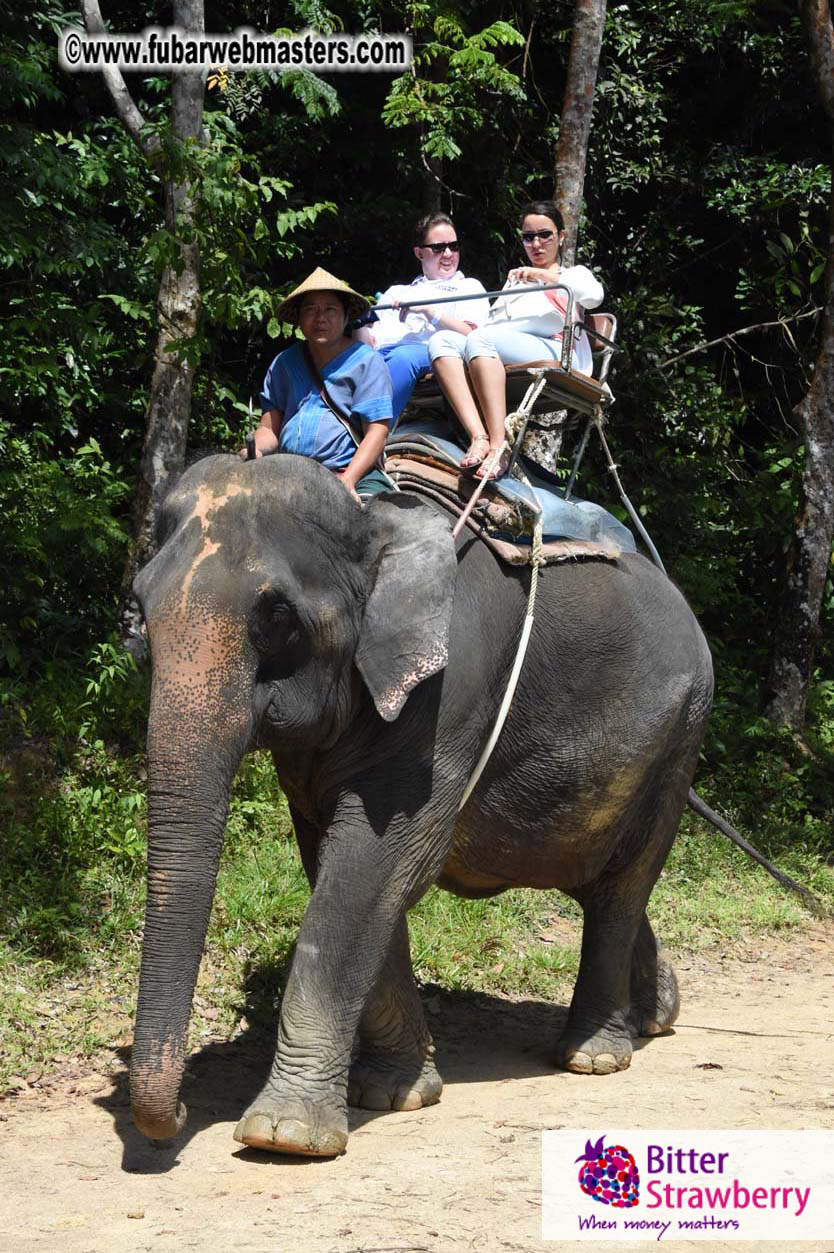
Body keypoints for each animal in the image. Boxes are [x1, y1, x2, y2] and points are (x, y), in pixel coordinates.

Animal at [129, 450, 713, 1157]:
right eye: (140, 607)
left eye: (277, 618)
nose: (180, 1116)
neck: (373, 522)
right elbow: (339, 864)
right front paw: (395, 1094)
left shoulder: (450, 692)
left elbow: (376, 864)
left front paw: (285, 1135)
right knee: (600, 879)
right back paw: (657, 1017)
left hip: (680, 735)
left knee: (624, 884)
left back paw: (595, 1056)